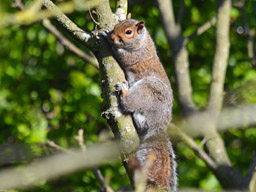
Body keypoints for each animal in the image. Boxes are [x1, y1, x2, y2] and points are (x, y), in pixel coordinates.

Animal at [109, 17, 177, 191]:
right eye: (116, 26)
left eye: (128, 32)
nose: (112, 37)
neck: (142, 41)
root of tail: (158, 126)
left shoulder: (138, 56)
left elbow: (124, 57)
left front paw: (104, 38)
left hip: (147, 91)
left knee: (129, 104)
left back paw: (124, 91)